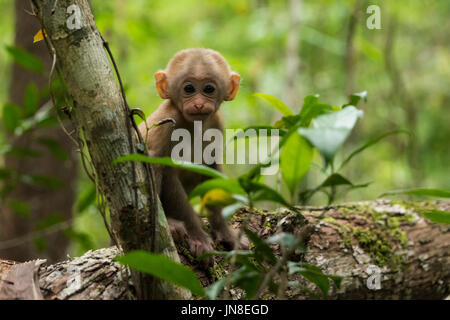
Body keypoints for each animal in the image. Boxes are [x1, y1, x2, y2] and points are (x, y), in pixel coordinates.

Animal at [141, 48, 246, 264]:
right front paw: (197, 236)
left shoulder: (216, 122)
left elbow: (211, 170)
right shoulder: (168, 122)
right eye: (189, 88)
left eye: (208, 89)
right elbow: (166, 170)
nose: (198, 104)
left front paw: (225, 231)